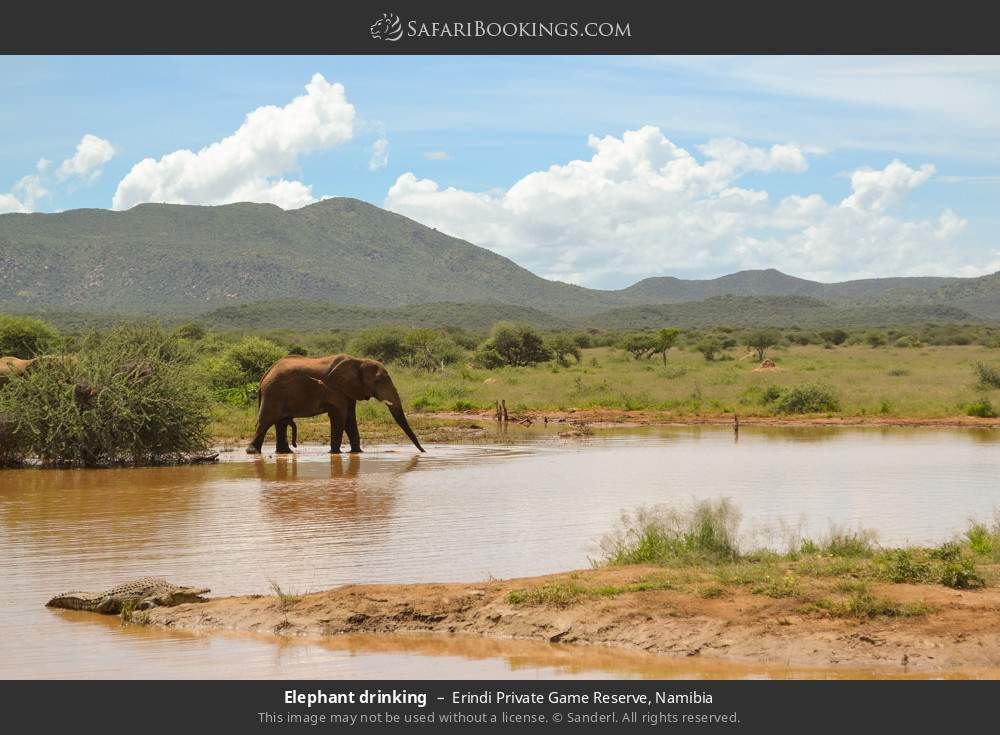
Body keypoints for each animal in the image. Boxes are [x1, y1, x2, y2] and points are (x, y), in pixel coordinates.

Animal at [250, 356, 426, 454]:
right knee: (265, 421)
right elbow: (339, 415)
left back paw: (285, 452)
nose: (424, 451)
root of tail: (265, 374)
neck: (358, 361)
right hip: (273, 393)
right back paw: (253, 452)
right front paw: (335, 453)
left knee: (280, 422)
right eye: (379, 381)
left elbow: (350, 418)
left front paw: (357, 452)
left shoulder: (349, 390)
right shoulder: (334, 389)